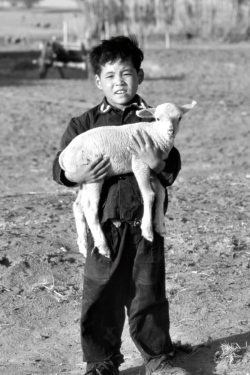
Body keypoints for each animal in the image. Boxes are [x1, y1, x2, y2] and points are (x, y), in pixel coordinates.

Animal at [59, 100, 196, 258]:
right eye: (157, 118)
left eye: (179, 118)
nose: (170, 131)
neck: (154, 134)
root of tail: (63, 155)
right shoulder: (139, 163)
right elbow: (149, 195)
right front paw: (147, 230)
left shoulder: (154, 167)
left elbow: (161, 193)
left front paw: (159, 225)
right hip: (93, 173)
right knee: (90, 209)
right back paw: (103, 247)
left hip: (84, 179)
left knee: (78, 205)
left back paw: (83, 245)